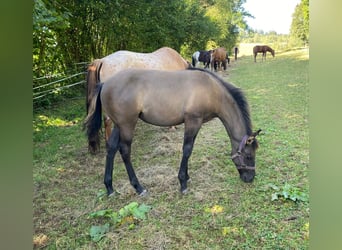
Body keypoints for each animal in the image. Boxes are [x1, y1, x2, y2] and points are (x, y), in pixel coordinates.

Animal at [84, 67, 260, 196]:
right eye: (248, 156)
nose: (250, 178)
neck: (211, 92)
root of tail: (105, 84)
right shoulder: (193, 121)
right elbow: (187, 149)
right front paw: (182, 182)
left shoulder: (196, 123)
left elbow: (189, 149)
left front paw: (187, 177)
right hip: (127, 124)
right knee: (125, 150)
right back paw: (138, 187)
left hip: (118, 125)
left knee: (112, 148)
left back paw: (109, 187)